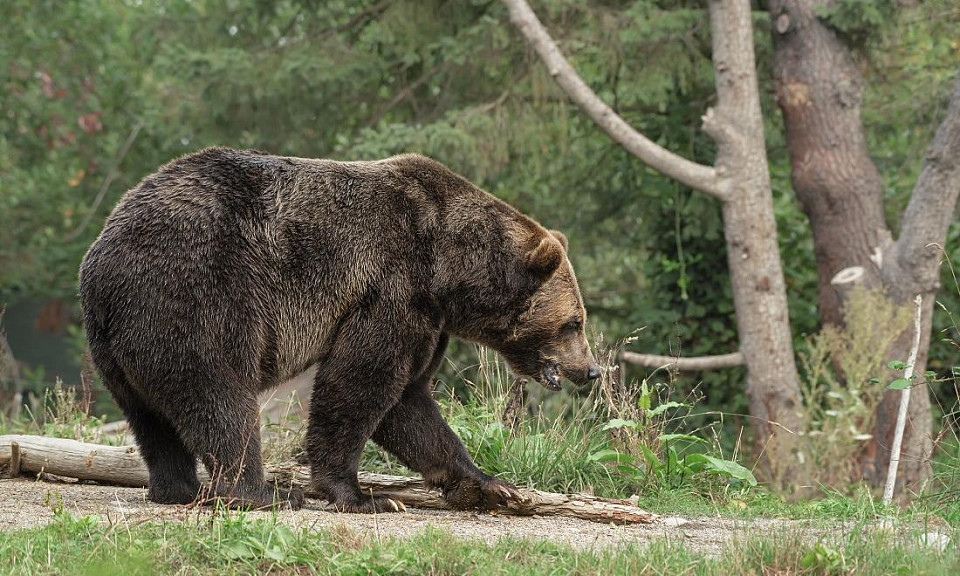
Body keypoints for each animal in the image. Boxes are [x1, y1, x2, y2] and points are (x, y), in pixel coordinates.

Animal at [79, 148, 600, 512]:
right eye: (574, 322)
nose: (591, 370)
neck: (449, 270)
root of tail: (102, 259)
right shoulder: (391, 288)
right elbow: (360, 384)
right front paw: (361, 494)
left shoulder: (428, 319)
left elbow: (409, 402)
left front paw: (490, 486)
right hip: (196, 294)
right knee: (219, 395)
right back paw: (259, 492)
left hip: (115, 343)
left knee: (150, 418)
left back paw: (177, 489)